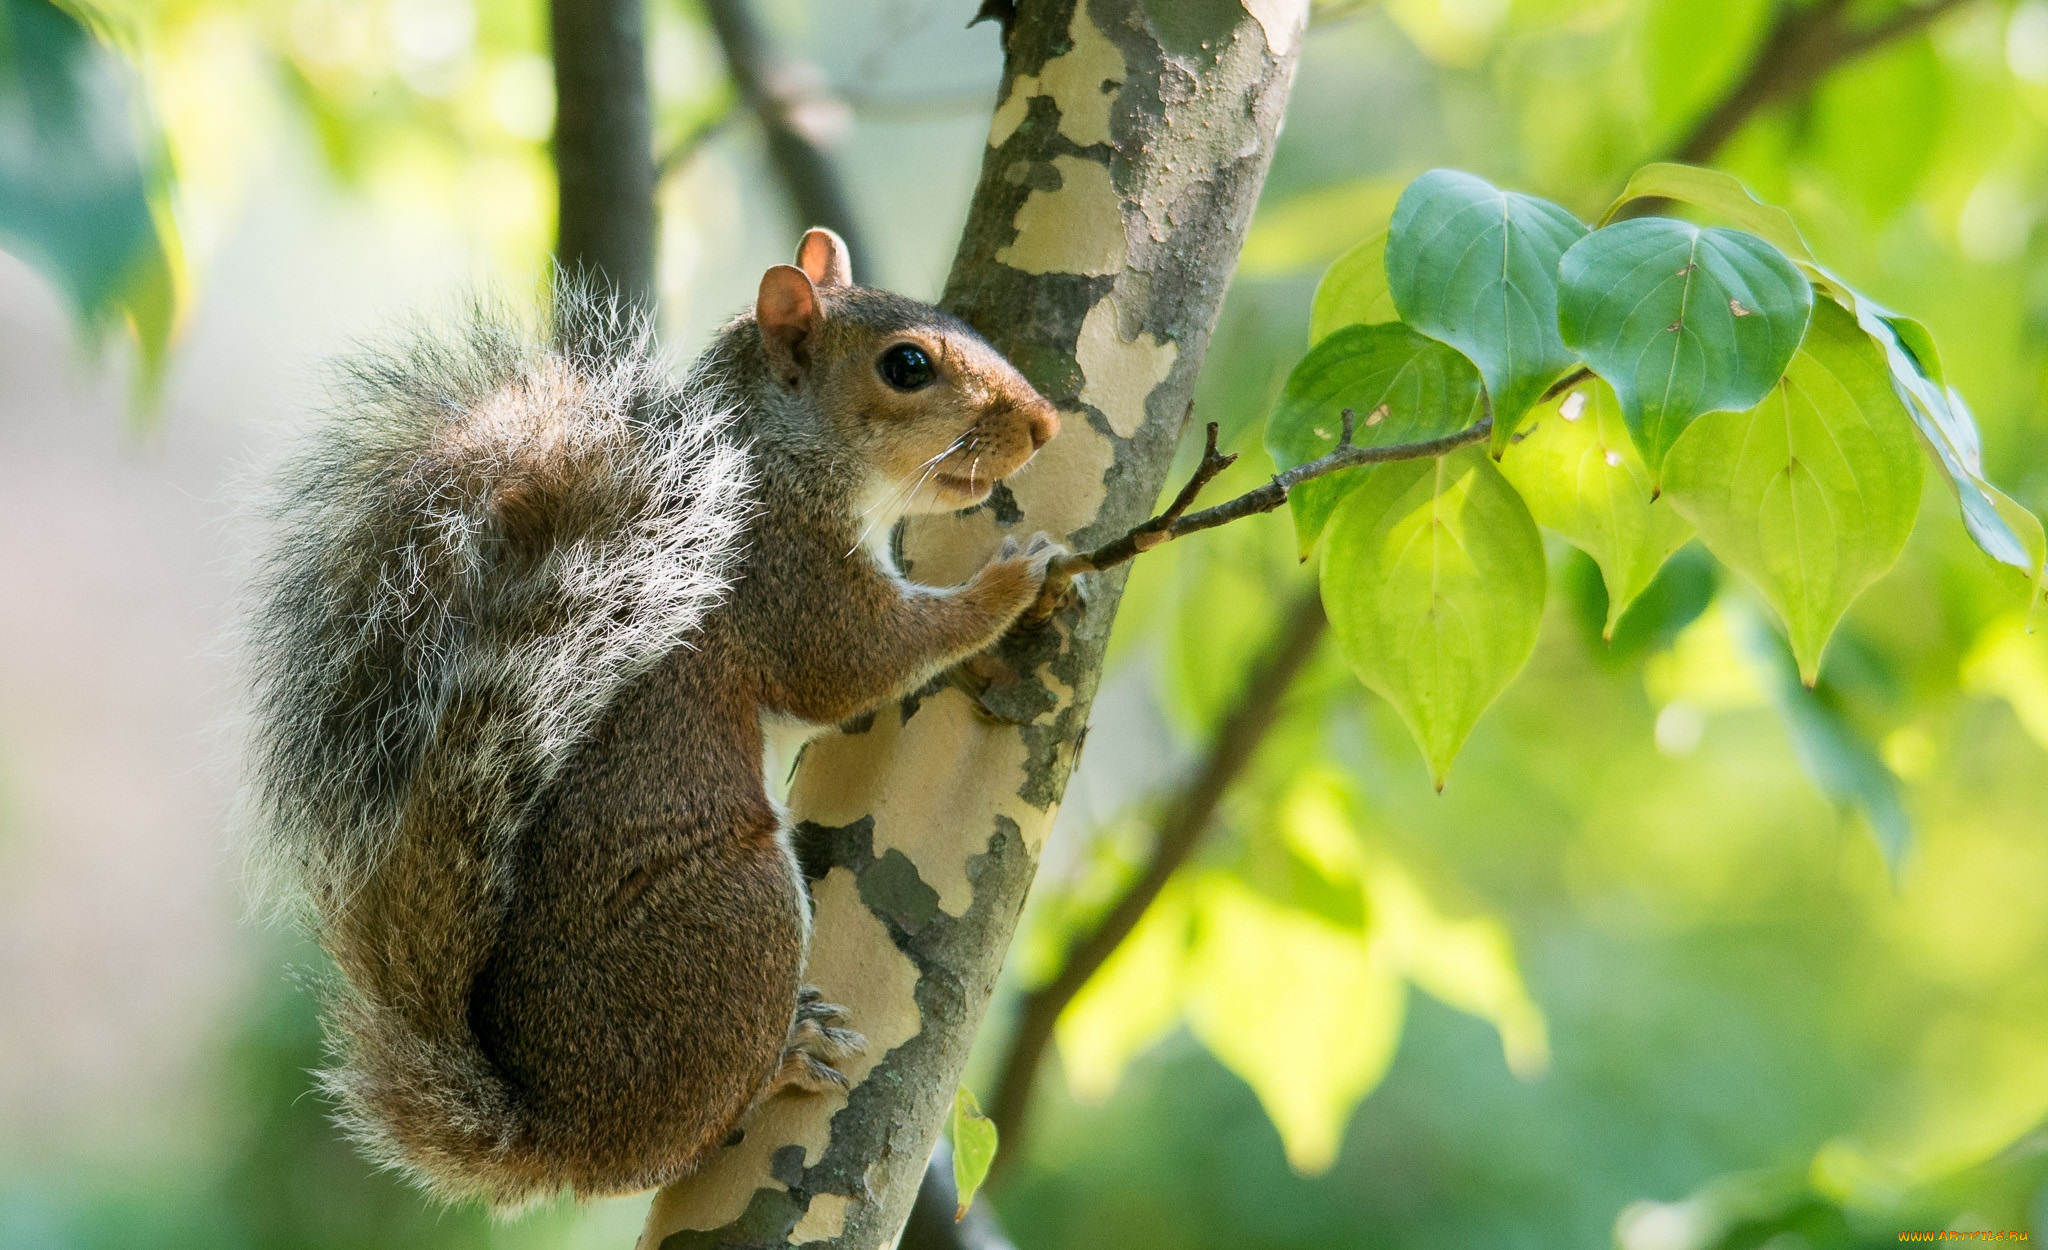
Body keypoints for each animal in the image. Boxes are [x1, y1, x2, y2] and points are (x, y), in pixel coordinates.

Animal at [247, 226, 1064, 1204]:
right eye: (907, 365)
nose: (1047, 424)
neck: (771, 458)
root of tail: (563, 1133)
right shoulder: (784, 580)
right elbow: (863, 663)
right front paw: (1010, 584)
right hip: (741, 911)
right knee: (690, 1133)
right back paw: (784, 1058)